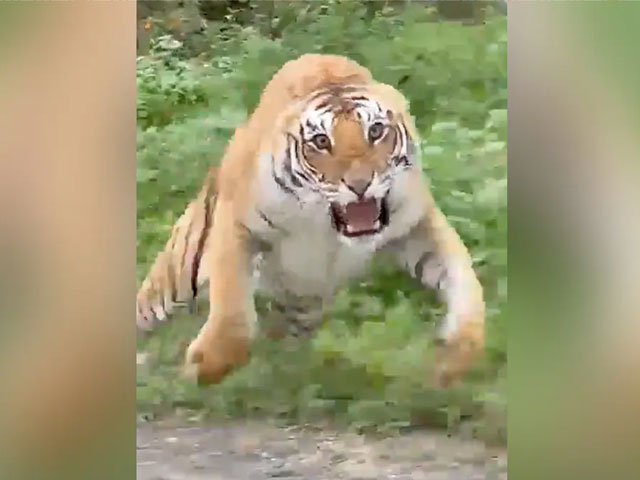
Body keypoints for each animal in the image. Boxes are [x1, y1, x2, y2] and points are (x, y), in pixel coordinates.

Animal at [136, 54, 485, 387]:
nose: (359, 184)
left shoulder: (418, 222)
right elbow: (232, 304)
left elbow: (463, 279)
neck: (325, 224)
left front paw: (455, 355)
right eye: (320, 141)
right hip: (175, 275)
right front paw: (206, 365)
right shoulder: (237, 225)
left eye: (375, 131)